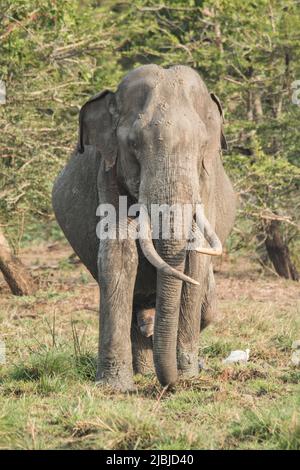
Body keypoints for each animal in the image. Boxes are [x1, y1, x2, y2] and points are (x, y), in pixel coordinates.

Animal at [52, 64, 238, 392]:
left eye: (203, 146)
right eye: (134, 145)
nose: (170, 385)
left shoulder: (206, 180)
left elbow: (197, 255)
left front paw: (188, 375)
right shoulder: (108, 171)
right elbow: (117, 251)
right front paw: (115, 388)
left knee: (209, 309)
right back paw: (144, 367)